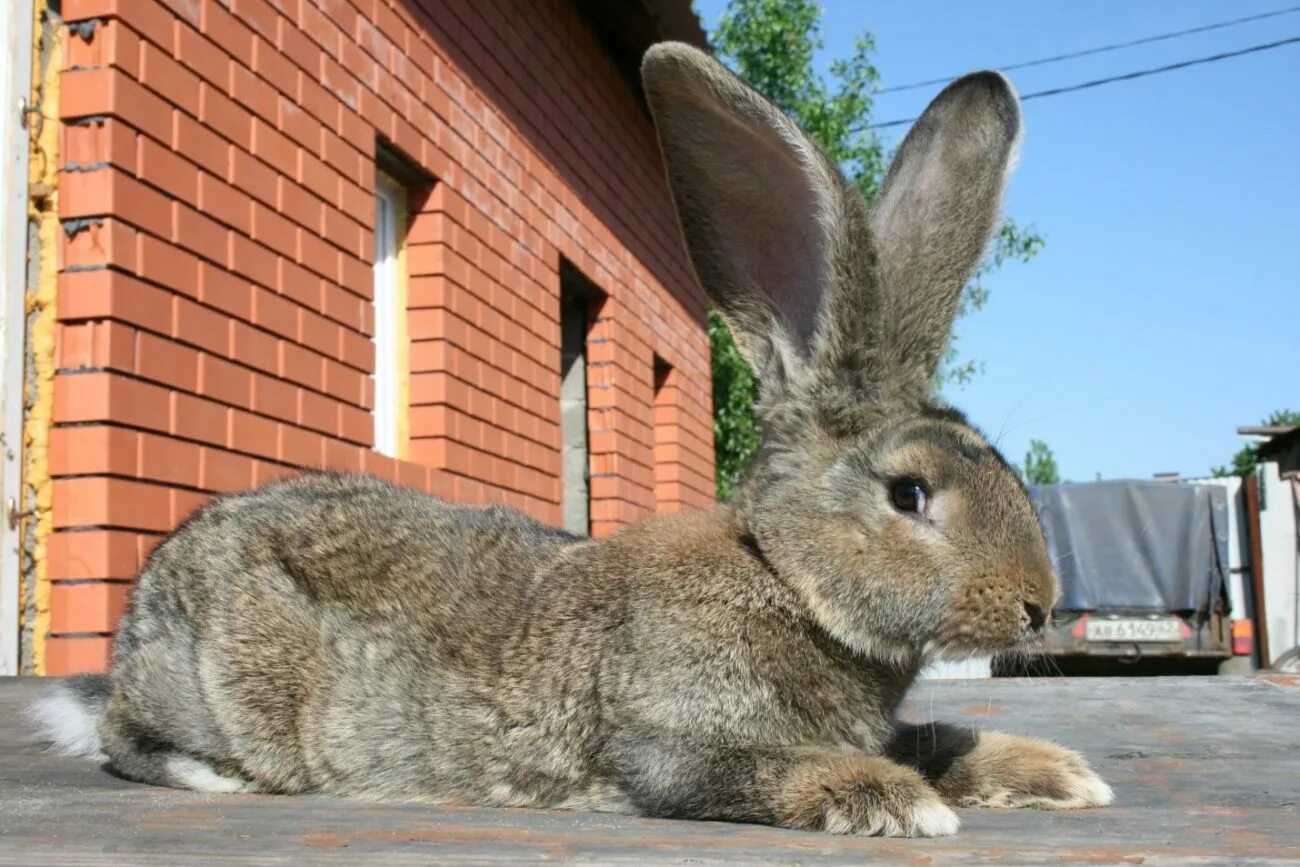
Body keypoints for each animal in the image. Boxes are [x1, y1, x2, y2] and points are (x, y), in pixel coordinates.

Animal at [30, 44, 1107, 837]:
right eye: (909, 494)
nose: (1036, 605)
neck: (787, 578)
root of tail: (138, 619)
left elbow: (932, 738)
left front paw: (1059, 775)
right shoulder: (671, 741)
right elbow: (767, 770)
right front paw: (896, 803)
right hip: (213, 686)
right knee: (130, 740)